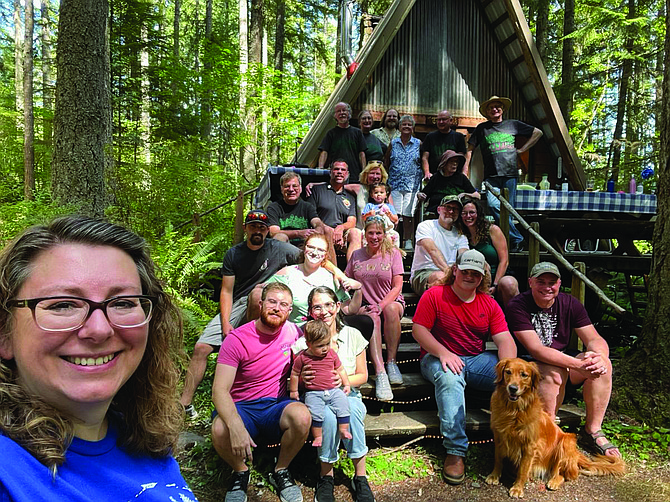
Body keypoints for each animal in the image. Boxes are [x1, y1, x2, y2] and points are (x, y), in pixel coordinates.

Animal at [486, 356, 628, 498]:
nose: (512, 388)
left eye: (524, 375)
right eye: (508, 372)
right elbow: (498, 459)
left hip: (566, 443)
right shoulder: (499, 436)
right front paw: (494, 476)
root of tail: (576, 453)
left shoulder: (530, 446)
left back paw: (553, 481)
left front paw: (517, 488)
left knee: (563, 474)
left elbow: (523, 469)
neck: (513, 411)